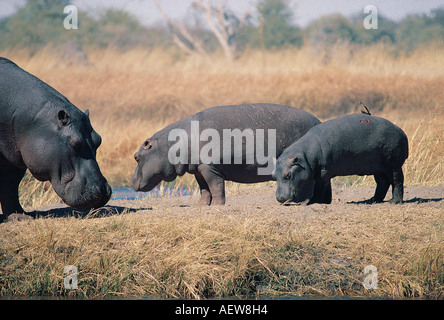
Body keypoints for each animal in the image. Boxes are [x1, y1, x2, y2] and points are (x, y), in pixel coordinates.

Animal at [0, 57, 111, 220]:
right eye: (74, 144)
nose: (102, 190)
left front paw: (21, 217)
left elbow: (10, 185)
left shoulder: (14, 158)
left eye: (99, 140)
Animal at [130, 104, 332, 206]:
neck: (171, 144)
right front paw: (202, 206)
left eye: (136, 157)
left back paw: (303, 202)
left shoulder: (210, 167)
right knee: (324, 181)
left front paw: (218, 206)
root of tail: (318, 121)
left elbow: (216, 186)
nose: (131, 182)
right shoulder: (198, 169)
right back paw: (322, 202)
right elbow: (204, 189)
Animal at [274, 114, 410, 204]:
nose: (279, 198)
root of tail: (402, 132)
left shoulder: (323, 172)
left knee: (397, 180)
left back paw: (394, 201)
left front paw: (313, 202)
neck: (304, 156)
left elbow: (319, 187)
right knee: (382, 183)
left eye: (287, 175)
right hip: (378, 167)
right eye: (274, 176)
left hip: (392, 164)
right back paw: (371, 201)